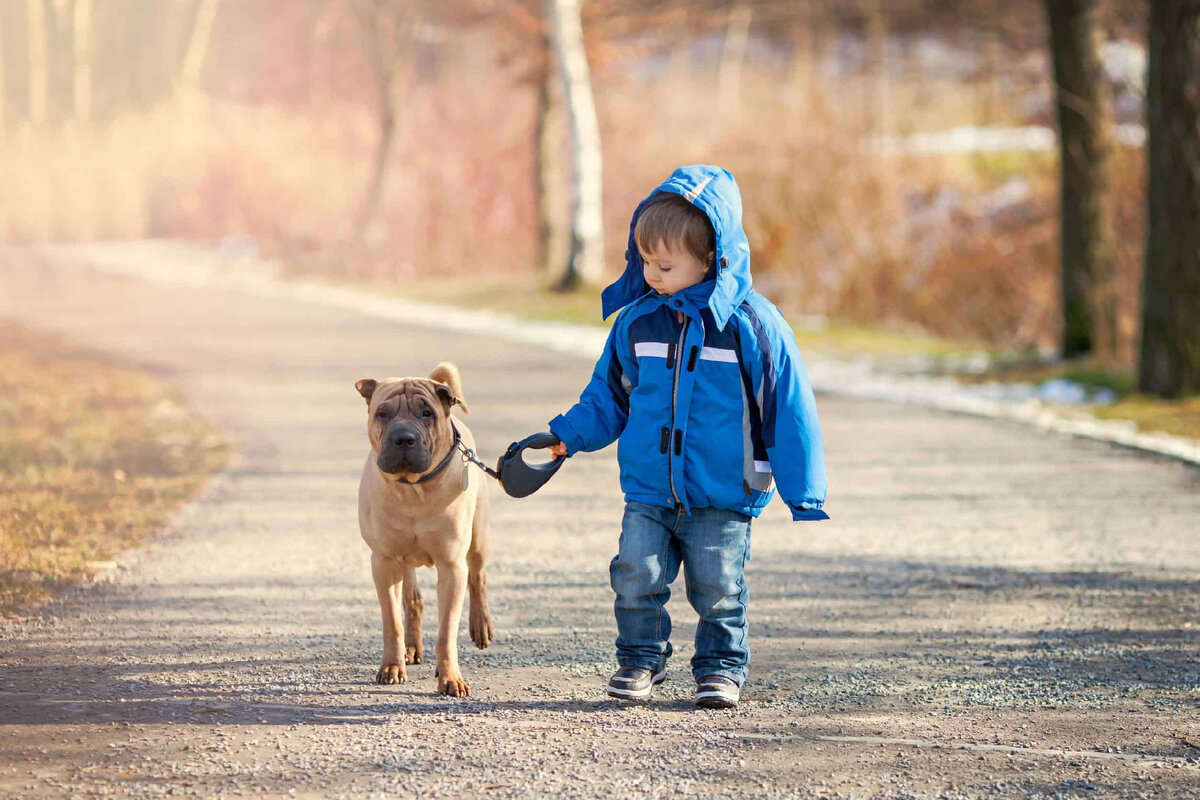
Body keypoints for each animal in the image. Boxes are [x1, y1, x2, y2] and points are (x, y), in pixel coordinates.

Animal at [350, 359, 492, 695]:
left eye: (427, 413)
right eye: (383, 413)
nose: (404, 437)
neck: (413, 490)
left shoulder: (451, 566)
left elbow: (446, 630)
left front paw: (451, 678)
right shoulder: (384, 563)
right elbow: (392, 622)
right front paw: (391, 667)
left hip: (478, 539)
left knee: (478, 577)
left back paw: (480, 627)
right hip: (404, 562)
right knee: (412, 601)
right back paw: (411, 649)